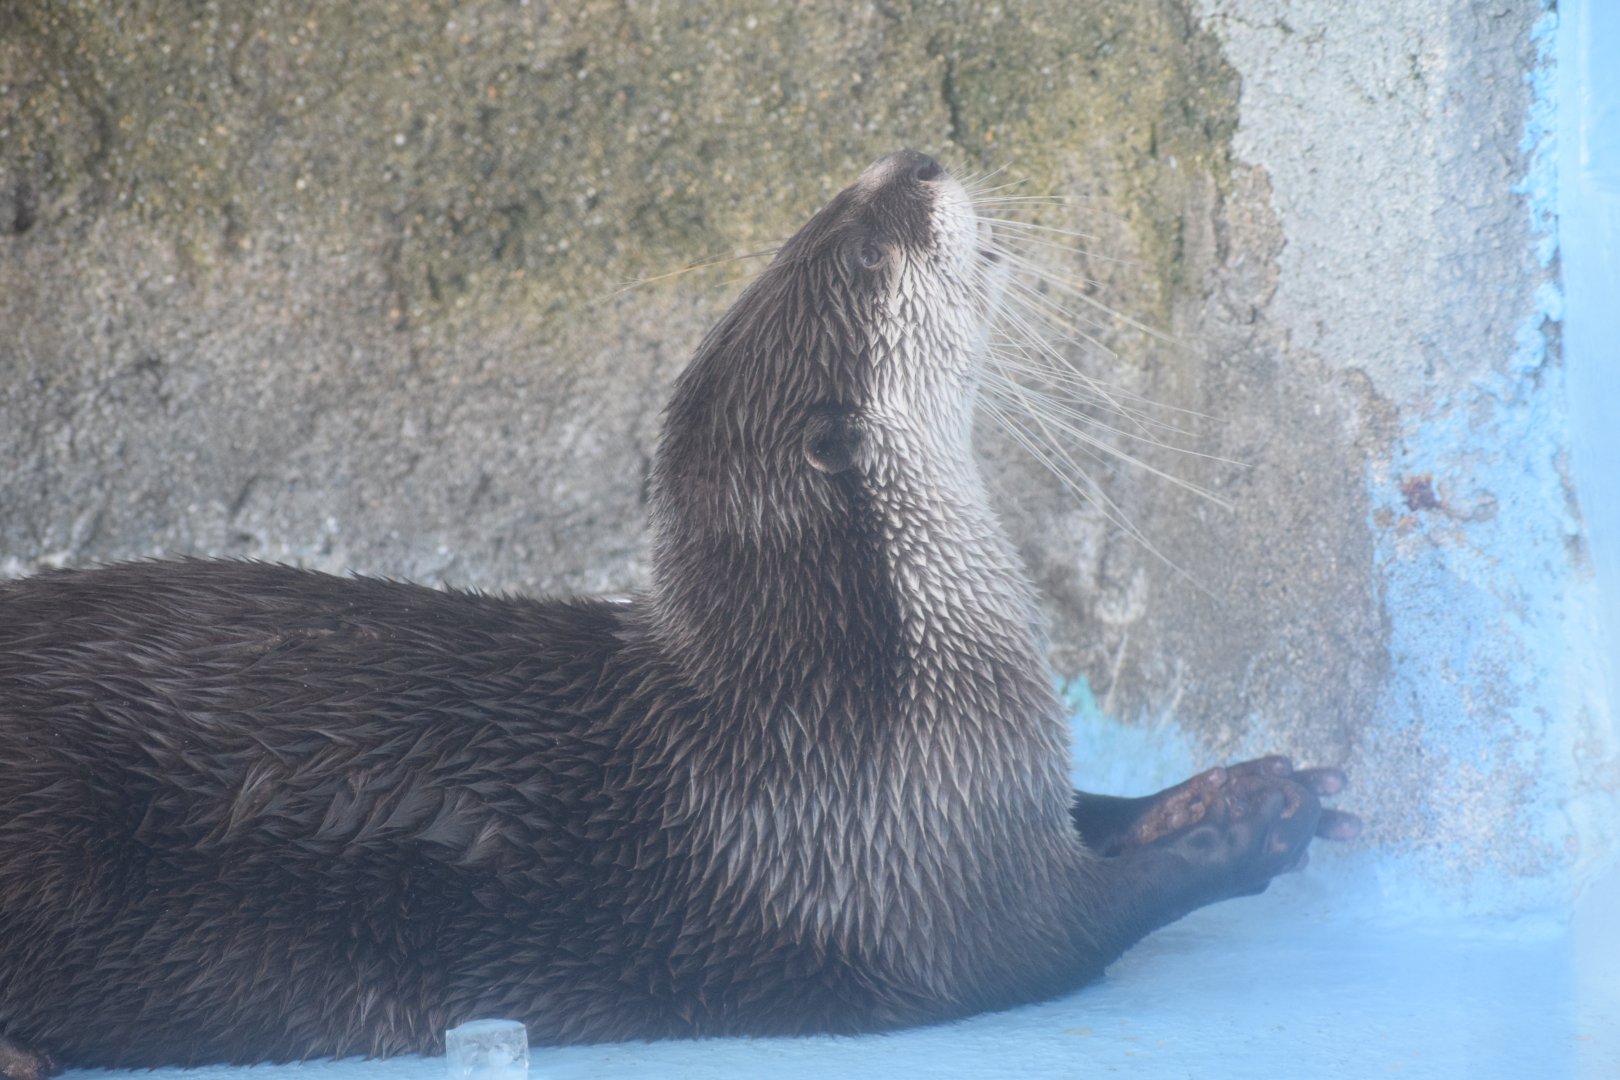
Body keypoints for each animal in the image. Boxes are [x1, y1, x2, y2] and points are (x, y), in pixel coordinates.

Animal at [0, 151, 1357, 1075]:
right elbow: (1072, 926)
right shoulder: (911, 872)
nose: (915, 161)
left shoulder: (984, 779)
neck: (876, 689)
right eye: (869, 249)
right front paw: (1251, 834)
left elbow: (1091, 807)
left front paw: (1233, 784)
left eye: (827, 204)